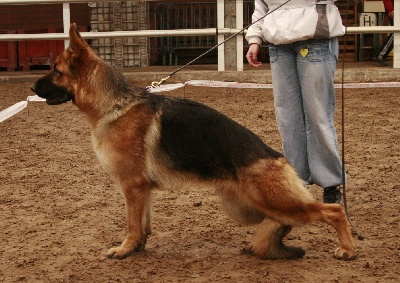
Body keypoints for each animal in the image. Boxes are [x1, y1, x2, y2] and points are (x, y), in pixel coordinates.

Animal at [32, 24, 356, 262]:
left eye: (56, 71)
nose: (31, 86)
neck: (115, 105)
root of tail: (277, 157)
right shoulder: (142, 189)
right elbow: (144, 223)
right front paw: (138, 248)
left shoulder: (132, 186)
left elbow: (132, 224)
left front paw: (124, 249)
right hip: (250, 205)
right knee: (284, 222)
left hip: (270, 200)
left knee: (333, 211)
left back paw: (348, 248)